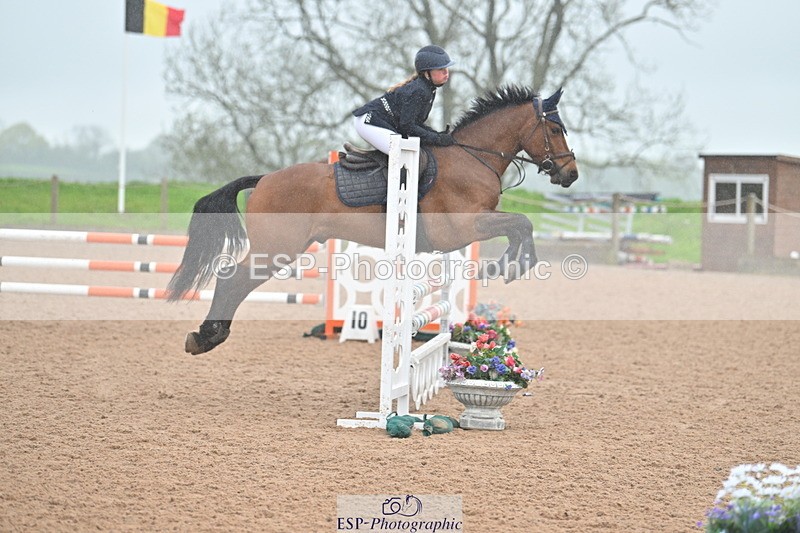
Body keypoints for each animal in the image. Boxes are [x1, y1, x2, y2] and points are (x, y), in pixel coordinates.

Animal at [167, 85, 579, 354]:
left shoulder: (470, 227)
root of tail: (264, 178)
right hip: (276, 249)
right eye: (555, 129)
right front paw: (510, 266)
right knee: (231, 280)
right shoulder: (463, 227)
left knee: (235, 282)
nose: (570, 174)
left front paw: (507, 265)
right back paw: (205, 338)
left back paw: (208, 335)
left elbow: (519, 224)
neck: (472, 156)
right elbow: (521, 222)